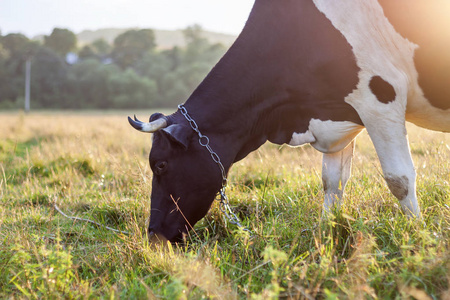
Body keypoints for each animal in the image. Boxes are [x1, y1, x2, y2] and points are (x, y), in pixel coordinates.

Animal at [128, 0, 448, 244]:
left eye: (160, 165)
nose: (153, 235)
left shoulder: (380, 99)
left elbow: (399, 179)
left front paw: (417, 235)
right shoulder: (337, 115)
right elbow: (332, 182)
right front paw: (327, 233)